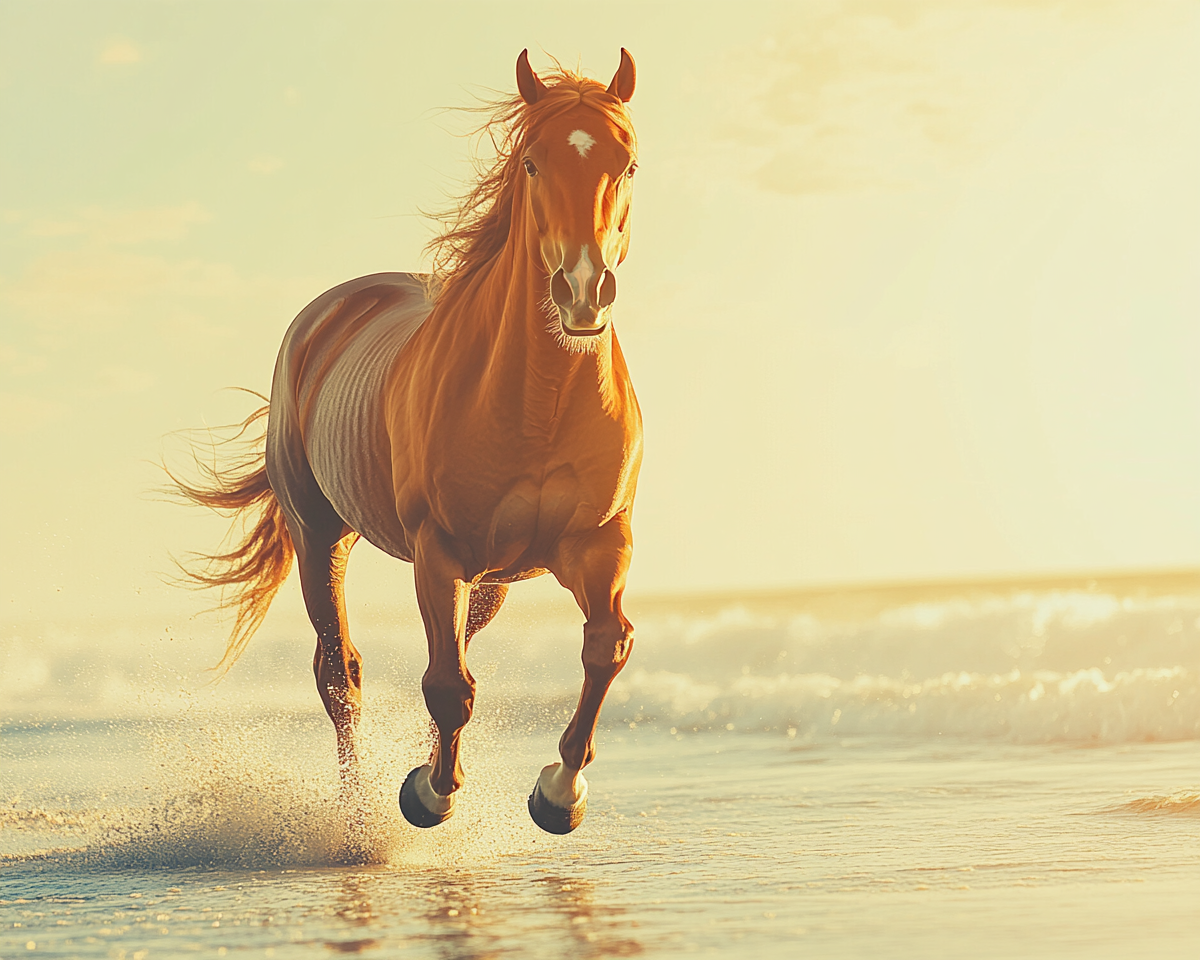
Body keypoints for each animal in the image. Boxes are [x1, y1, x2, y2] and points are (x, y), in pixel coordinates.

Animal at [174, 50, 643, 830]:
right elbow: (448, 686)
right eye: (532, 162)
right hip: (321, 536)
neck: (540, 399)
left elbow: (606, 646)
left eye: (629, 163)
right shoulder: (438, 550)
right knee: (341, 673)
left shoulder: (597, 543)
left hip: (493, 578)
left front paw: (558, 792)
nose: (583, 290)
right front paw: (427, 794)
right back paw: (359, 813)